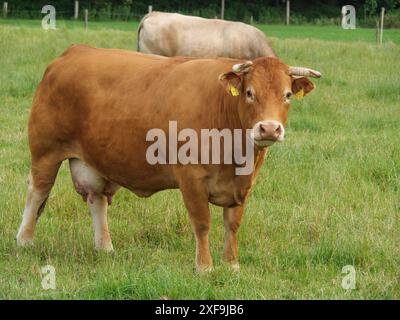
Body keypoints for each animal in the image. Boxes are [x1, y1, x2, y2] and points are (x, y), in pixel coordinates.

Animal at [16, 43, 322, 272]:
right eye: (249, 93)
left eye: (287, 95)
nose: (269, 128)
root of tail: (74, 51)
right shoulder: (191, 178)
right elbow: (202, 222)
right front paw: (205, 267)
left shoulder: (244, 185)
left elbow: (232, 224)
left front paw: (232, 265)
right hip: (45, 152)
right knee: (37, 192)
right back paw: (24, 241)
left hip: (96, 158)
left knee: (97, 200)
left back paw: (105, 248)